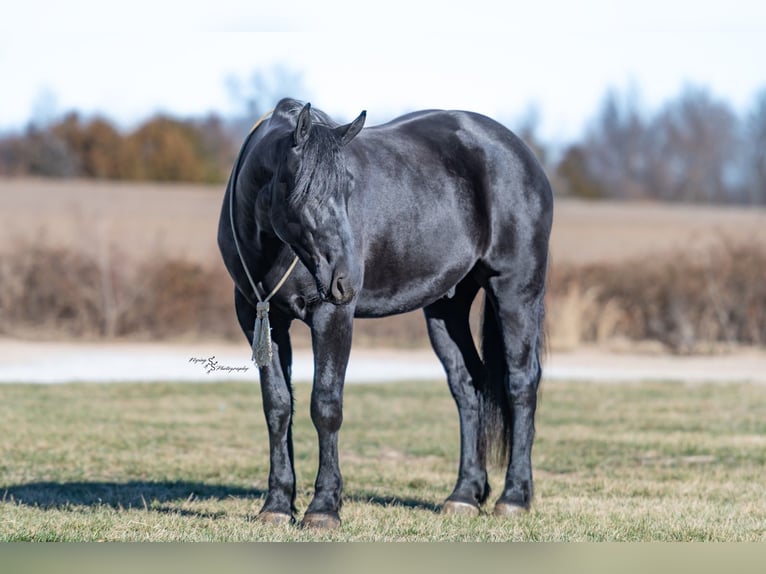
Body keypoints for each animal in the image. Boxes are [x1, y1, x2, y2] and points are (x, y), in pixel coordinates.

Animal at [217, 98, 553, 529]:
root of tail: (521, 152)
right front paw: (276, 505)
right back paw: (464, 495)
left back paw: (513, 497)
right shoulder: (261, 319)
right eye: (301, 189)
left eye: (349, 188)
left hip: (515, 291)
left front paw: (323, 507)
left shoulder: (332, 317)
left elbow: (326, 405)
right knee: (468, 386)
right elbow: (278, 408)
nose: (346, 279)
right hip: (447, 309)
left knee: (521, 383)